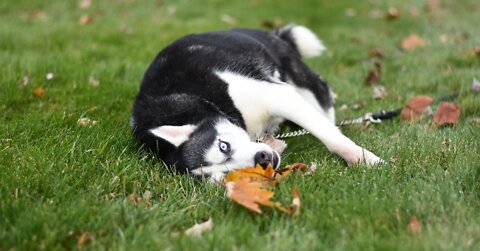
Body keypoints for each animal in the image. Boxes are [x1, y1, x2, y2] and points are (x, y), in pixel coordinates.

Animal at [131, 24, 382, 180]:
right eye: (227, 174)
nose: (261, 159)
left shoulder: (275, 94)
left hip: (293, 72)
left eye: (223, 146)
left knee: (321, 91)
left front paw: (361, 159)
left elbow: (329, 136)